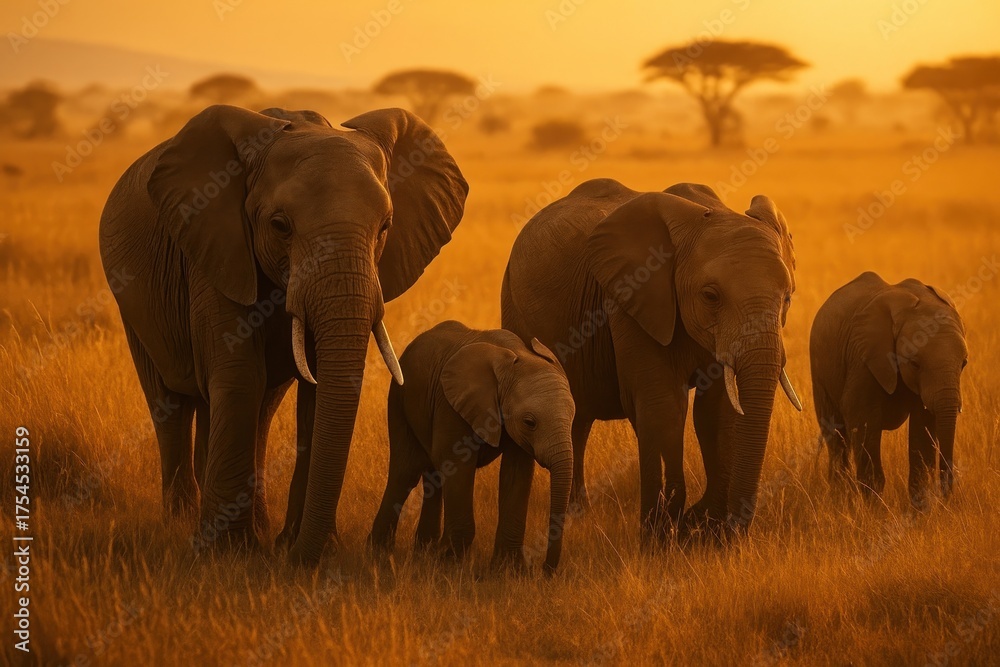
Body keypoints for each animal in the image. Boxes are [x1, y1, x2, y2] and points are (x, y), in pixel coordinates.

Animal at [99, 104, 468, 565]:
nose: (298, 560)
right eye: (280, 225)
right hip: (131, 301)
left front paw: (296, 545)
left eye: (386, 227)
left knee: (256, 409)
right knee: (170, 403)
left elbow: (314, 389)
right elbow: (240, 375)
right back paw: (181, 523)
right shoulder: (215, 248)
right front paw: (230, 553)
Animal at [369, 321, 575, 572]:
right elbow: (458, 464)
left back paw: (424, 551)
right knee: (405, 473)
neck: (515, 355)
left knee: (433, 475)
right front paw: (450, 565)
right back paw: (379, 552)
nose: (545, 571)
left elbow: (516, 474)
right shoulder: (450, 403)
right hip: (399, 397)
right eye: (530, 422)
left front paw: (507, 571)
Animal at [501, 179, 801, 542]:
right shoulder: (632, 297)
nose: (696, 522)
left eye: (788, 298)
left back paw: (578, 514)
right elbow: (663, 404)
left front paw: (702, 533)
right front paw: (661, 540)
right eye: (711, 296)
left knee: (577, 417)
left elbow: (717, 410)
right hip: (512, 304)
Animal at [810, 272, 968, 508]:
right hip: (820, 372)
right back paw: (841, 498)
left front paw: (920, 511)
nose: (946, 496)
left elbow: (923, 427)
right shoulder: (864, 358)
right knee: (836, 436)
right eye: (915, 364)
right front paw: (875, 511)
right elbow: (862, 419)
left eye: (964, 363)